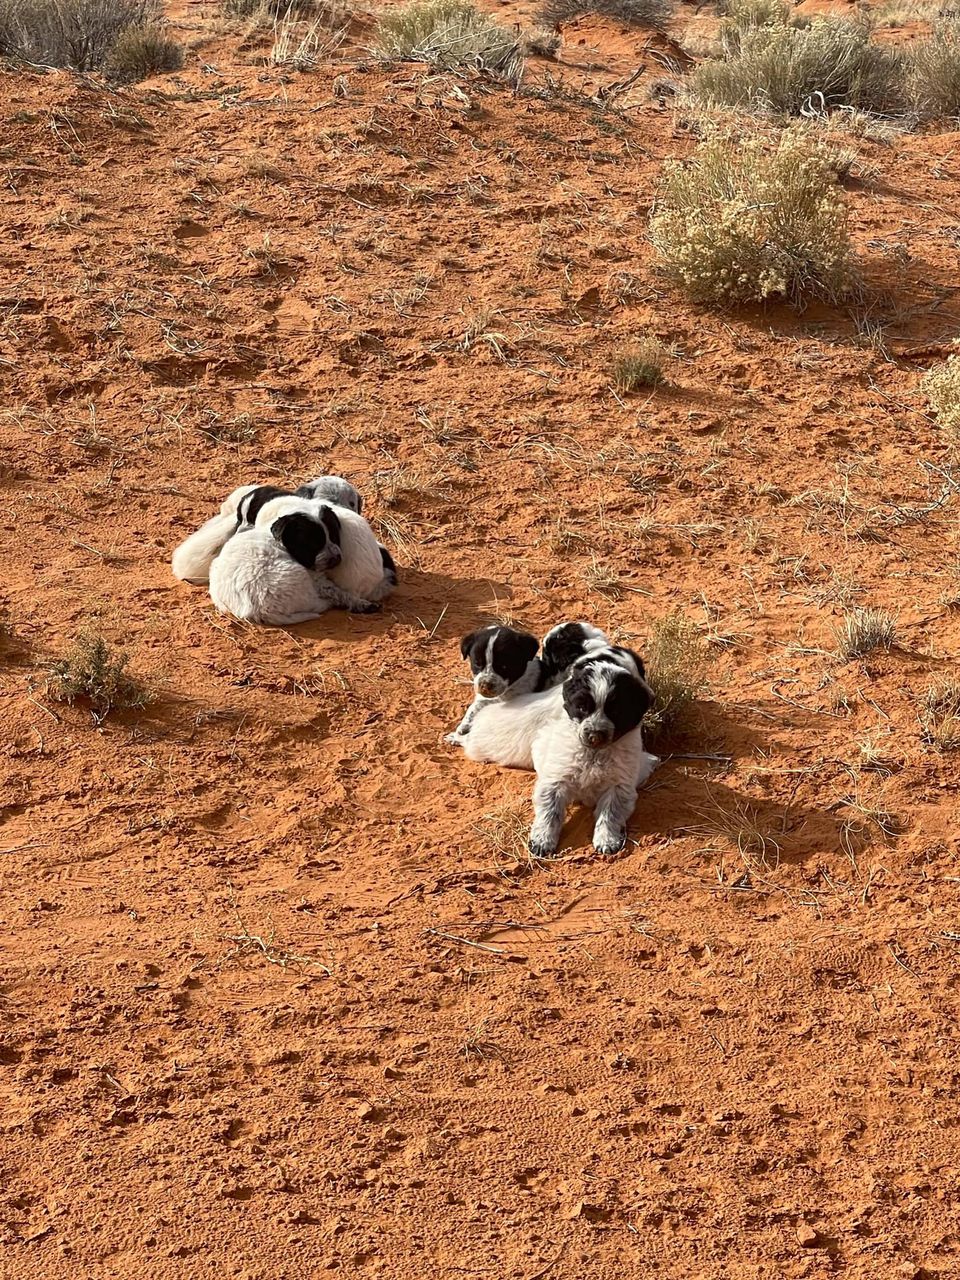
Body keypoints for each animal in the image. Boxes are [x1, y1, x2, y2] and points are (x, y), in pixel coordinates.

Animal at [460, 650, 660, 860]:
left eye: (616, 712)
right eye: (582, 708)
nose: (594, 735)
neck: (594, 753)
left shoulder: (620, 787)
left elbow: (610, 814)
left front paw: (607, 840)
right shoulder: (555, 780)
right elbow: (550, 812)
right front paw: (542, 840)